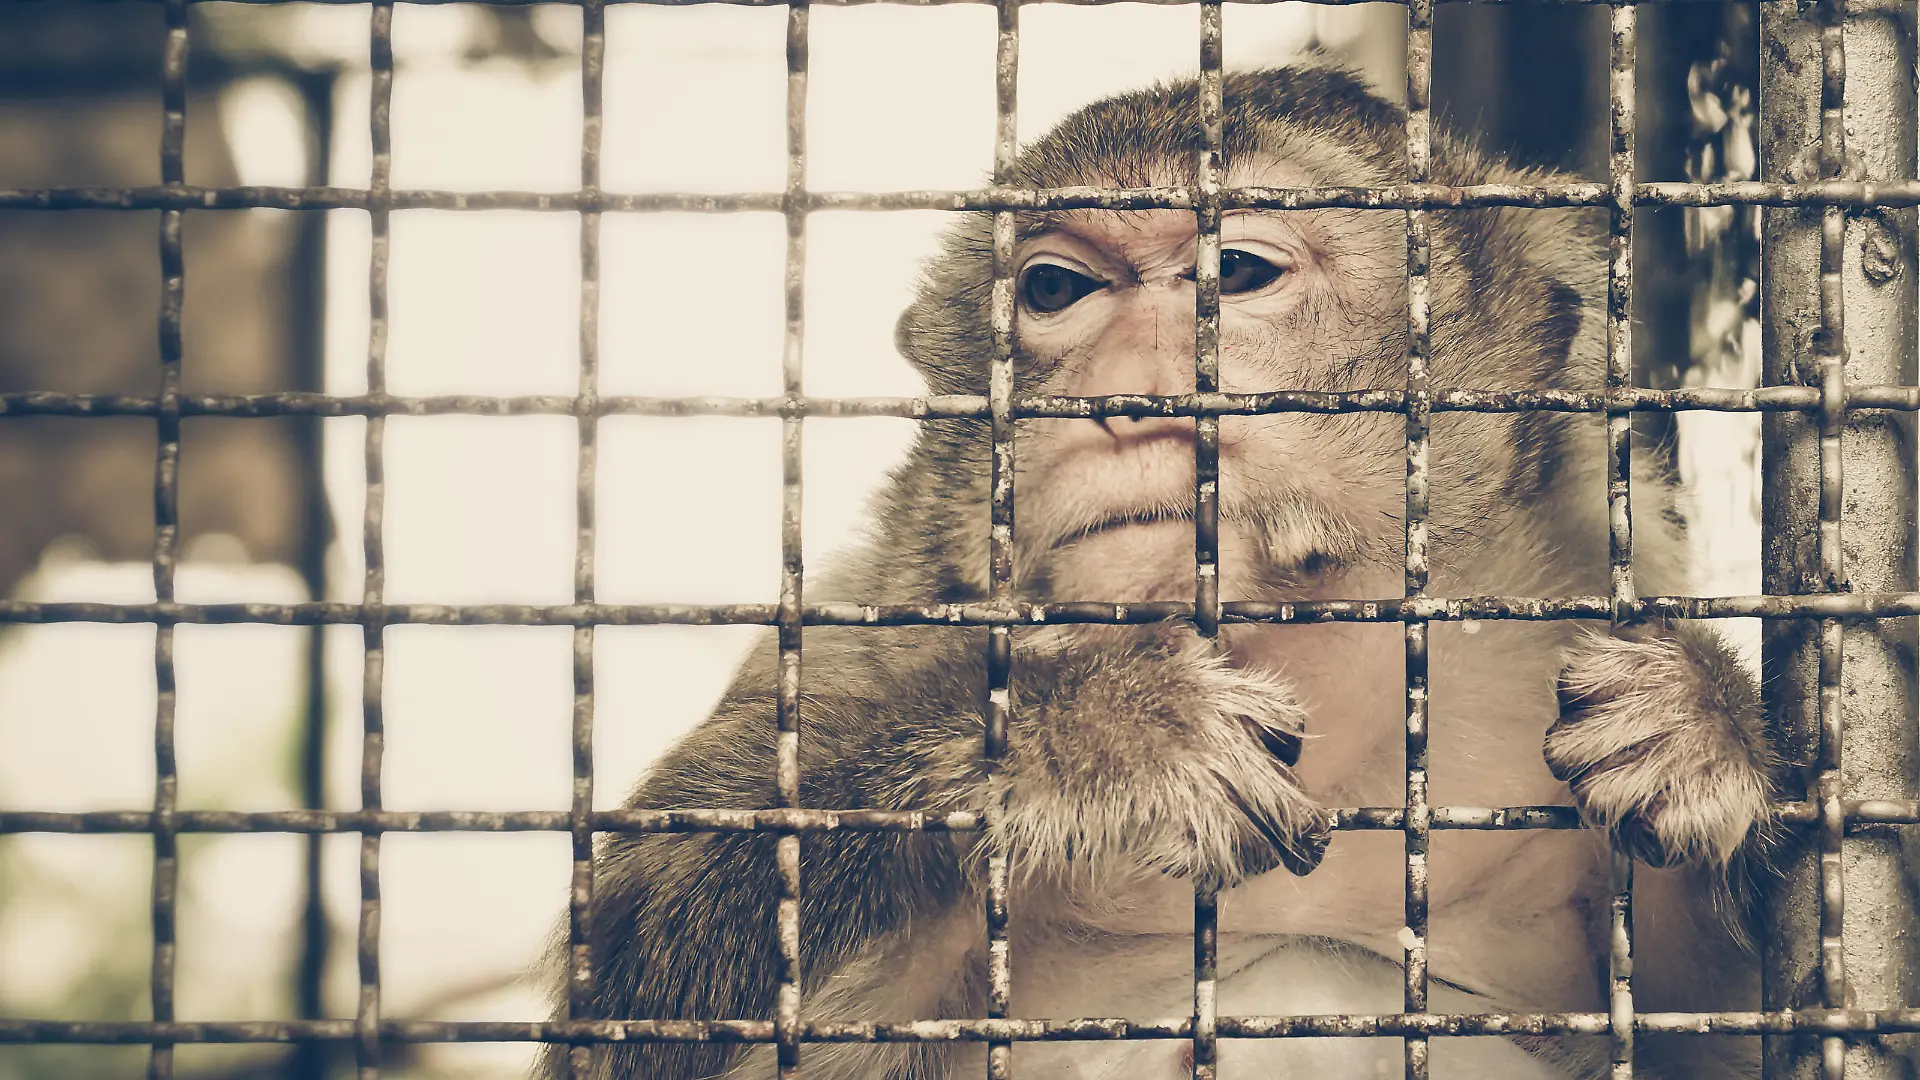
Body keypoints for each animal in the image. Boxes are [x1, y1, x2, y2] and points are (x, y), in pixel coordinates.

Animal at [539, 64, 1782, 1079]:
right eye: (1052, 291)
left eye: (1238, 271)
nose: (1124, 397)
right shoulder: (881, 607)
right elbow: (640, 962)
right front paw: (1102, 735)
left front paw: (1701, 719)